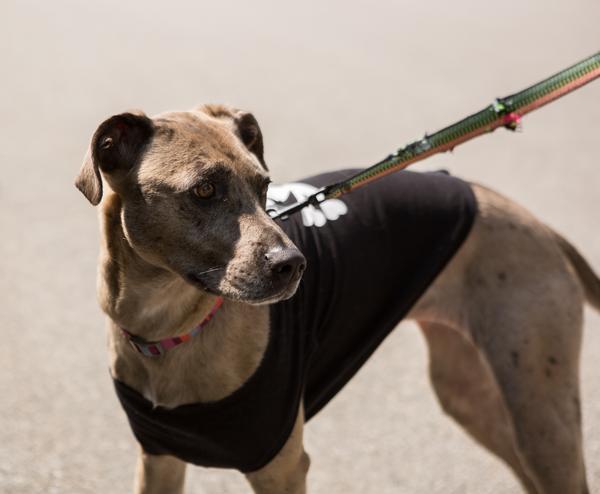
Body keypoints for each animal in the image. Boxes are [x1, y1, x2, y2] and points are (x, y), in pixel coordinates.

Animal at [75, 102, 600, 492]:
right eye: (204, 190)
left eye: (264, 185)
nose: (293, 265)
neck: (168, 328)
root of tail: (537, 223)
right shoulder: (158, 460)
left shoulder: (281, 468)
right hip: (471, 395)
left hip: (540, 418)